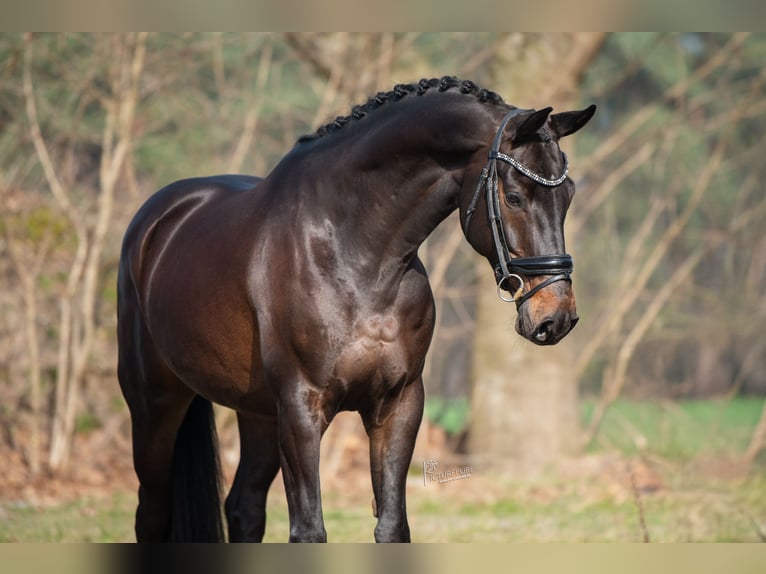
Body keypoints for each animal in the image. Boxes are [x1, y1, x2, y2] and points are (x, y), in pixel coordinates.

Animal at [116, 76, 595, 542]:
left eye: (568, 195)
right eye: (513, 196)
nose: (557, 317)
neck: (356, 255)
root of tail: (157, 220)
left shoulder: (399, 405)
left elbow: (392, 525)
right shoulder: (301, 409)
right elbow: (309, 529)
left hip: (257, 413)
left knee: (244, 509)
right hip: (156, 407)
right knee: (151, 515)